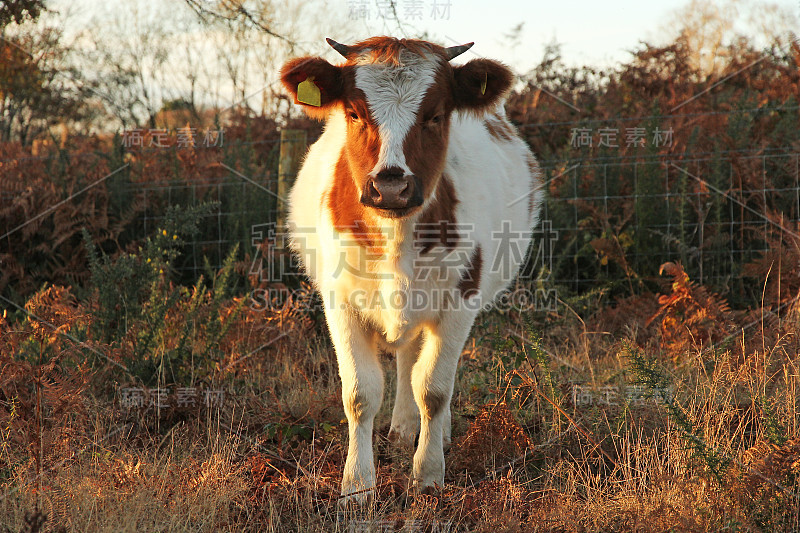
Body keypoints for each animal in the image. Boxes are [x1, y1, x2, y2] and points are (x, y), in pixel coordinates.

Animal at [282, 35, 544, 500]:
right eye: (354, 113)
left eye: (435, 115)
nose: (391, 186)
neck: (396, 234)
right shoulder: (340, 301)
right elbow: (360, 393)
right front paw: (357, 484)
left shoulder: (461, 300)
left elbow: (434, 388)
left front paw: (428, 473)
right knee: (406, 356)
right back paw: (404, 428)